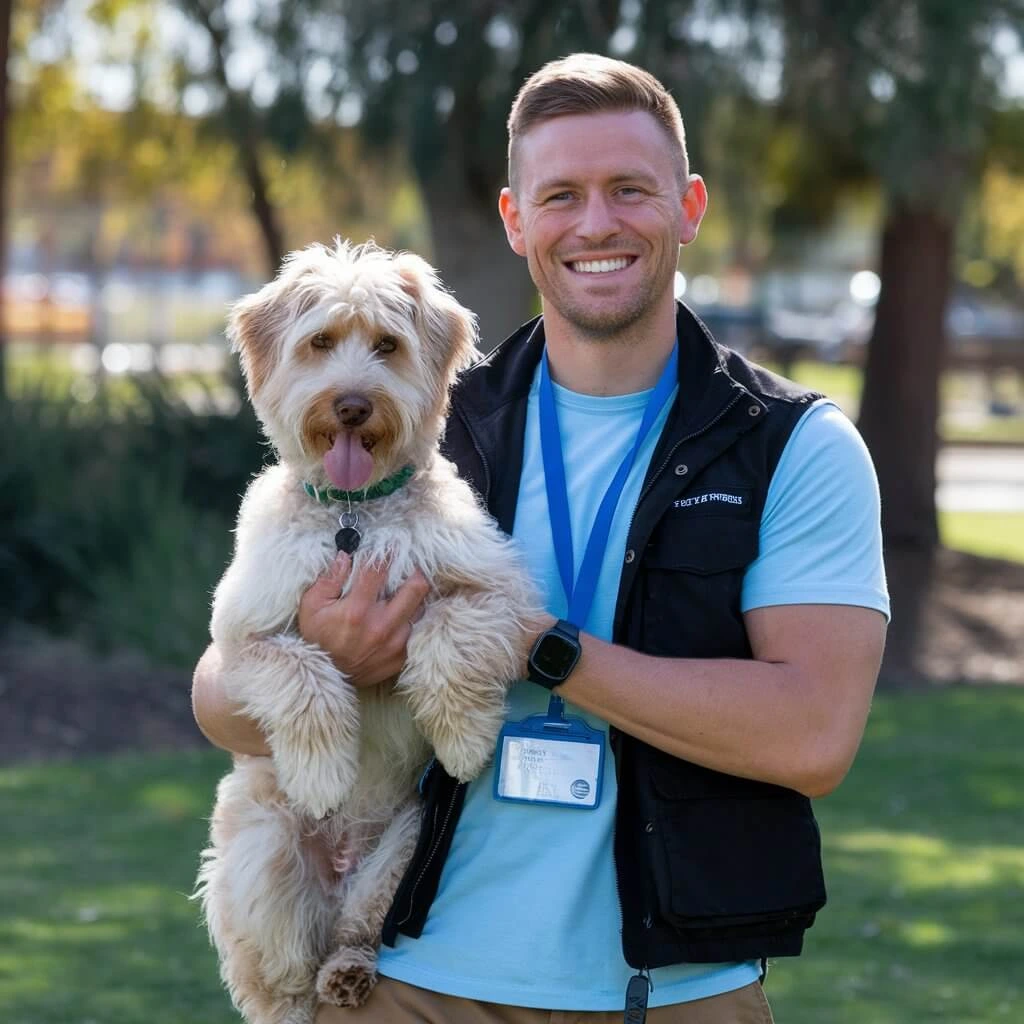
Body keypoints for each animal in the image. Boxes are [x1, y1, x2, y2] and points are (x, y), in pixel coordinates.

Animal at [194, 241, 540, 1024]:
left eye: (387, 345)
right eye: (320, 342)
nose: (352, 403)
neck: (355, 516)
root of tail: (342, 864)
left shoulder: (501, 594)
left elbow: (446, 629)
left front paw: (465, 739)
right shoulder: (241, 638)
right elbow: (303, 672)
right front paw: (324, 772)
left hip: (405, 848)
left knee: (354, 930)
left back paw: (349, 970)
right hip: (263, 845)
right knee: (280, 975)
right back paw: (301, 990)